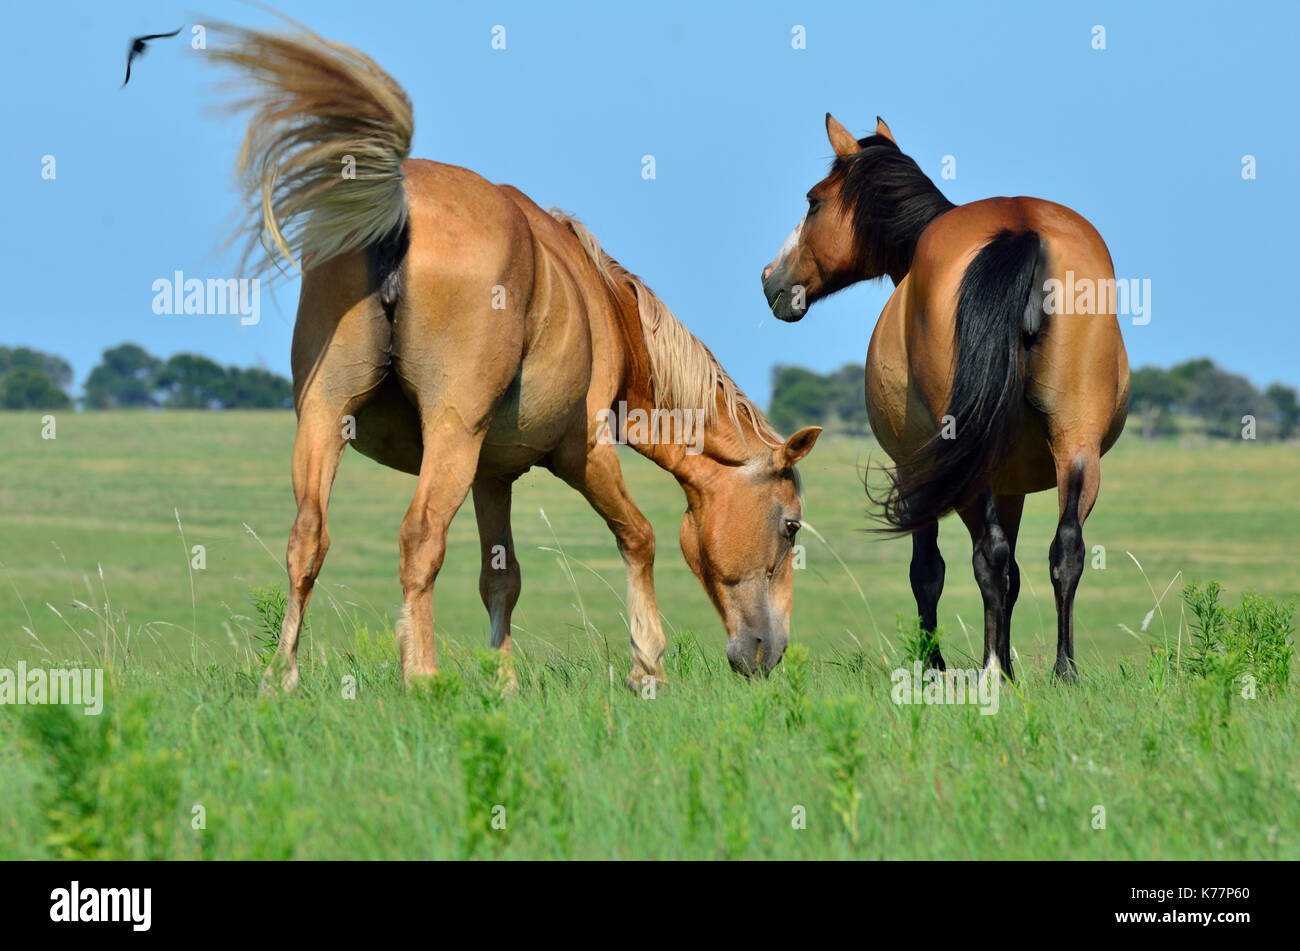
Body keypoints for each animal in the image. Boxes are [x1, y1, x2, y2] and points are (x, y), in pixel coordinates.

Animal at [213, 22, 821, 691]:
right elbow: (638, 538)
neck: (604, 306)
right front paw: (648, 668)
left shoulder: (492, 475)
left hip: (326, 415)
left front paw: (502, 683)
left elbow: (501, 578)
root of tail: (397, 205)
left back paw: (282, 677)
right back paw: (421, 677)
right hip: (448, 434)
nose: (770, 652)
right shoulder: (585, 452)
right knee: (420, 538)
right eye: (790, 526)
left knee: (307, 540)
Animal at [759, 114, 1128, 680]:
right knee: (1065, 548)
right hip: (1074, 444)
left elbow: (929, 571)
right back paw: (1062, 671)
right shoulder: (1012, 484)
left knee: (986, 557)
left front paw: (935, 664)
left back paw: (992, 671)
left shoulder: (916, 470)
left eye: (814, 201)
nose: (770, 279)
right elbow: (1014, 571)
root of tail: (1023, 229)